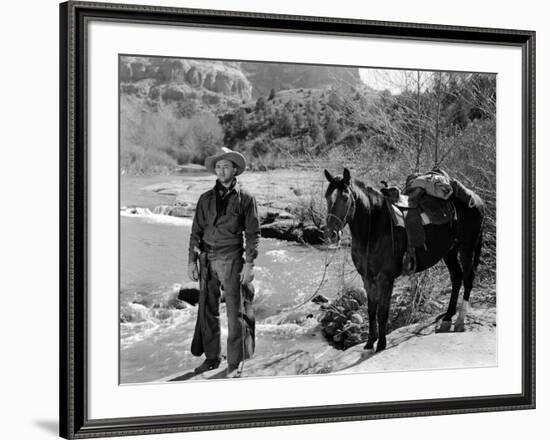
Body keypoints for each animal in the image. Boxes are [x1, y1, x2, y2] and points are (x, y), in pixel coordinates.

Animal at [326, 169, 486, 354]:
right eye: (326, 197)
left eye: (345, 198)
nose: (331, 233)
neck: (375, 228)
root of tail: (476, 199)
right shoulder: (367, 277)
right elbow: (371, 310)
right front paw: (369, 342)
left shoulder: (385, 278)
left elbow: (382, 311)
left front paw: (381, 345)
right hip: (450, 251)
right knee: (456, 277)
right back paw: (447, 317)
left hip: (467, 248)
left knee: (468, 278)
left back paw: (459, 321)